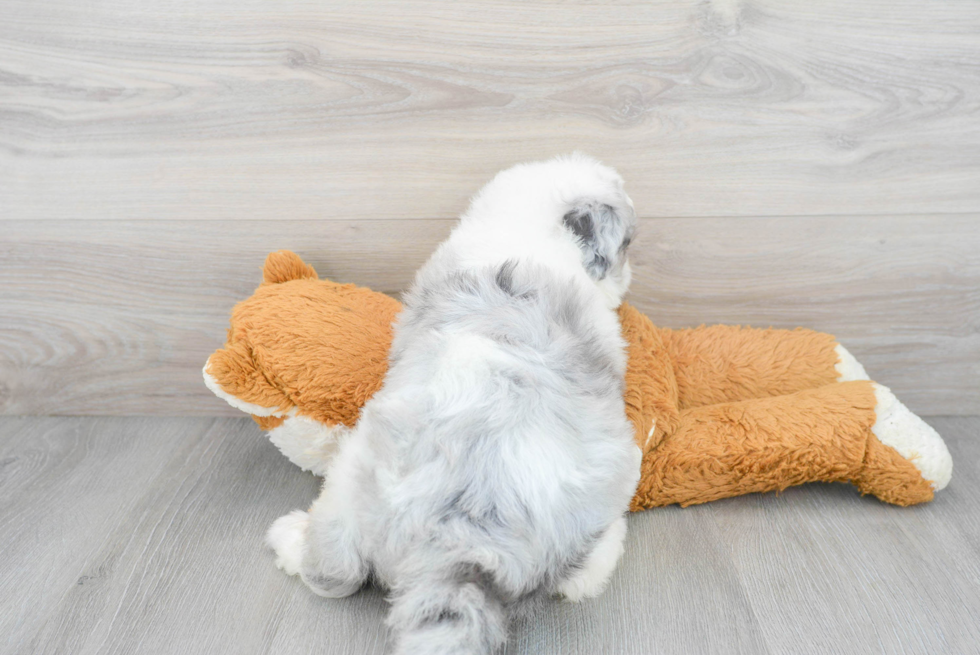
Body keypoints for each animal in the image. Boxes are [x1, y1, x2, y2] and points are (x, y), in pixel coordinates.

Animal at [268, 154, 644, 655]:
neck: (521, 226)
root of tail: (460, 538)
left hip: (349, 478)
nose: (628, 274)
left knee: (334, 571)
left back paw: (291, 542)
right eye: (626, 244)